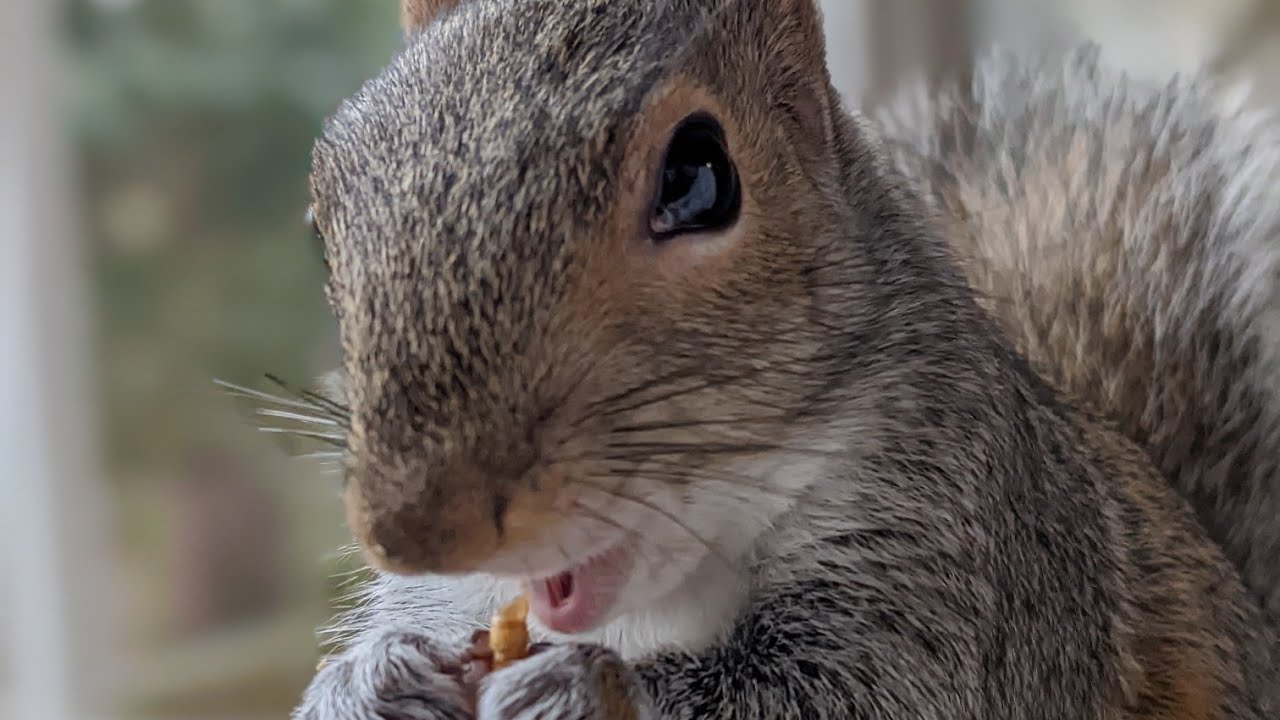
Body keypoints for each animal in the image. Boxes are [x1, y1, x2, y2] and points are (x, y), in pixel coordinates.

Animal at [289, 0, 1280, 717]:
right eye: (323, 214)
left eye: (697, 178)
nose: (412, 532)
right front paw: (367, 680)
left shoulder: (974, 560)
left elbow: (858, 695)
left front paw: (585, 686)